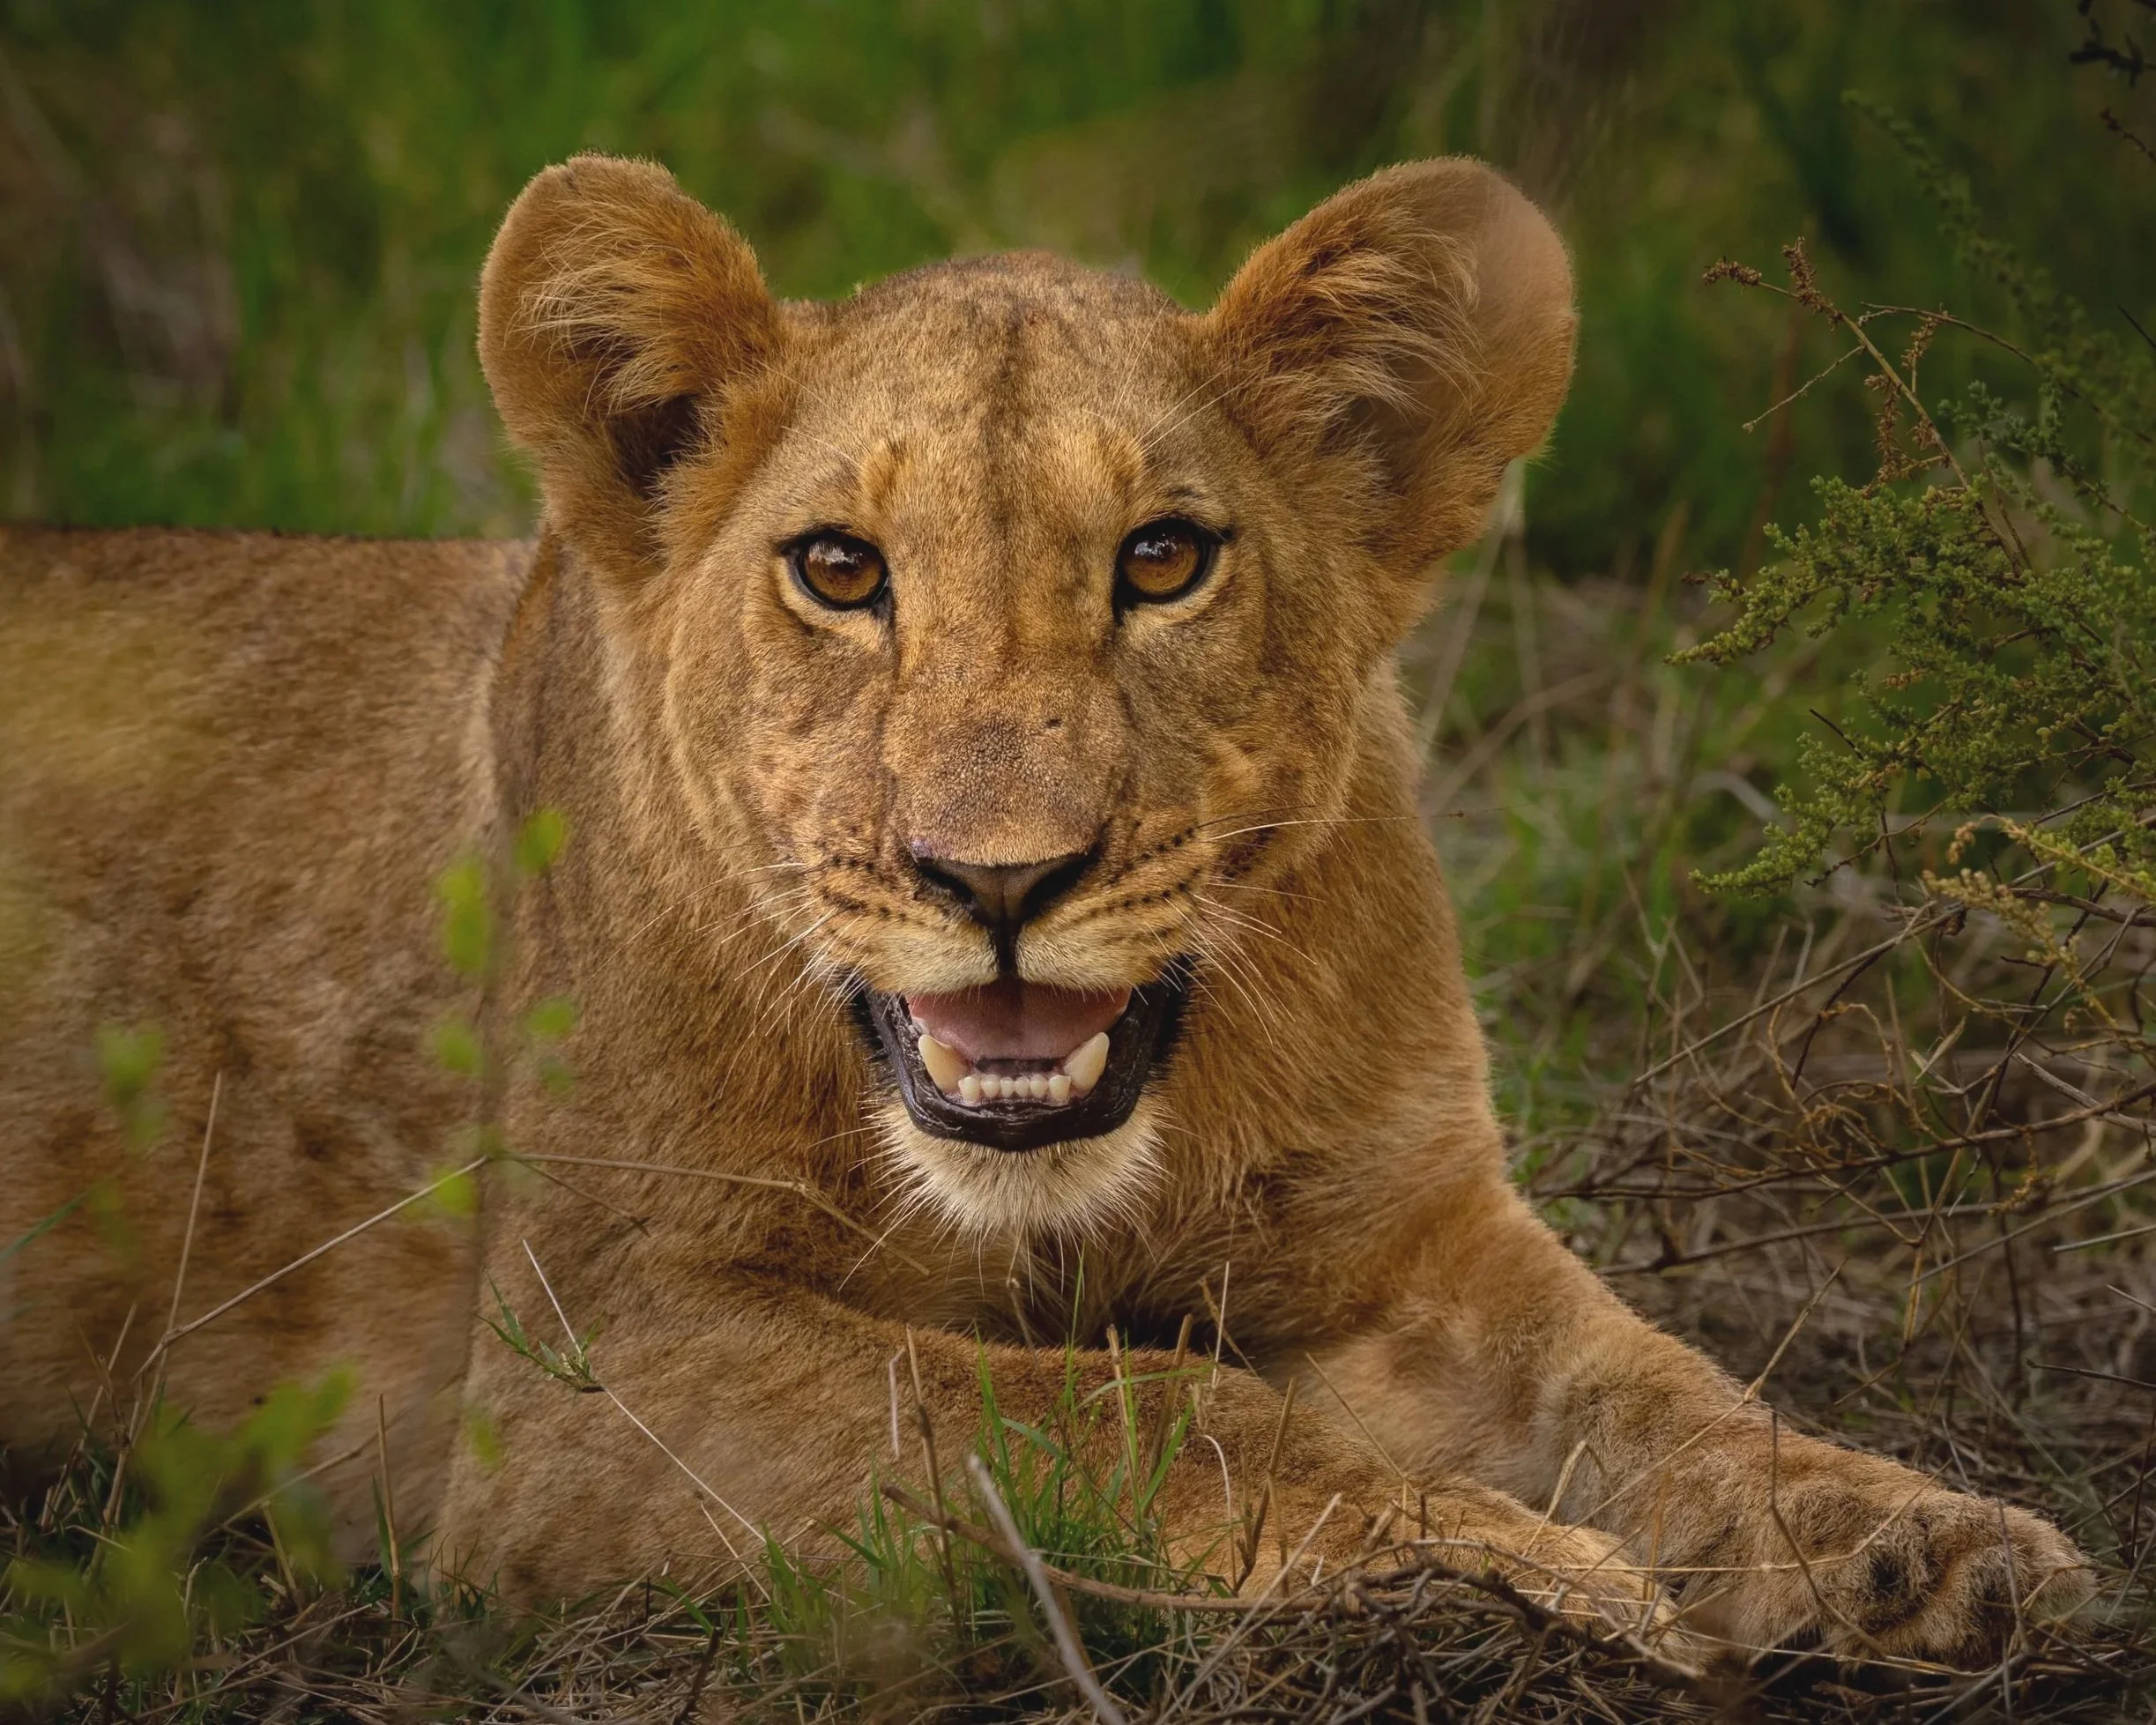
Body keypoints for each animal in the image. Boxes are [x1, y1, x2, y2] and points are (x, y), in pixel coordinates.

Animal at [0, 153, 2088, 1665]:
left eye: (1161, 559)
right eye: (840, 570)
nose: (997, 880)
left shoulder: (1402, 1244)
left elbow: (1657, 1390)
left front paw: (1921, 1546)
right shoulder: (573, 1379)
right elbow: (1110, 1408)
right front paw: (1499, 1563)